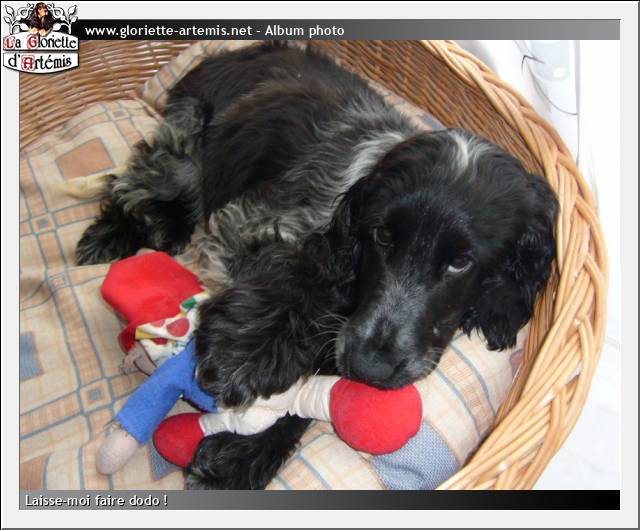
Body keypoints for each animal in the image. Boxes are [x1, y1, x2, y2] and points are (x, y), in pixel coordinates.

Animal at [76, 41, 559, 489]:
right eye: (382, 237)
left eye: (462, 262)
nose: (370, 367)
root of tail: (232, 52)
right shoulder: (249, 228)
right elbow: (290, 278)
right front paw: (244, 355)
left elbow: (317, 387)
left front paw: (241, 456)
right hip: (188, 140)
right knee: (140, 185)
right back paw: (108, 238)